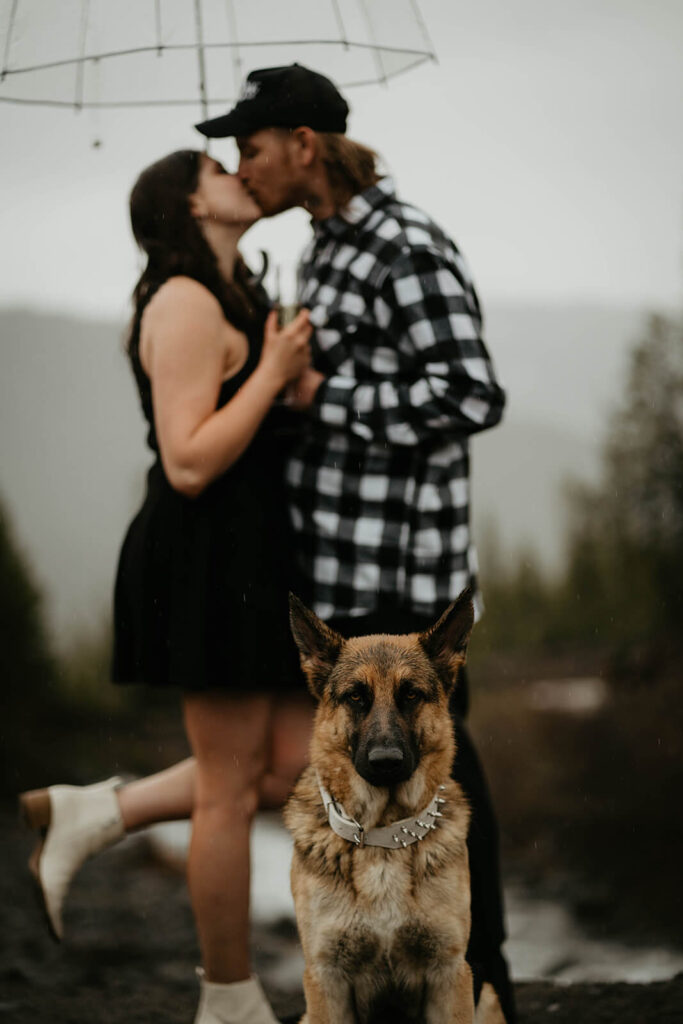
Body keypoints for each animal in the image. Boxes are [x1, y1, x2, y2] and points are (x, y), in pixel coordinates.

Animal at [284, 589, 507, 1019]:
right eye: (356, 696)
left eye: (411, 695)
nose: (385, 762)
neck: (383, 837)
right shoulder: (327, 979)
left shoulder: (449, 974)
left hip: (486, 997)